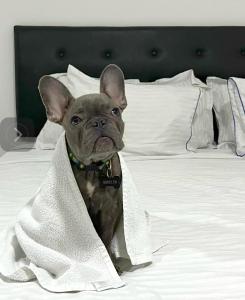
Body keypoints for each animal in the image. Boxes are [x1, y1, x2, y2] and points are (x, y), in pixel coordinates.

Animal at [38, 63, 126, 274]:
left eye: (115, 111)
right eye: (75, 120)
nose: (99, 121)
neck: (92, 167)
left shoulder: (110, 208)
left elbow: (106, 236)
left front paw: (111, 262)